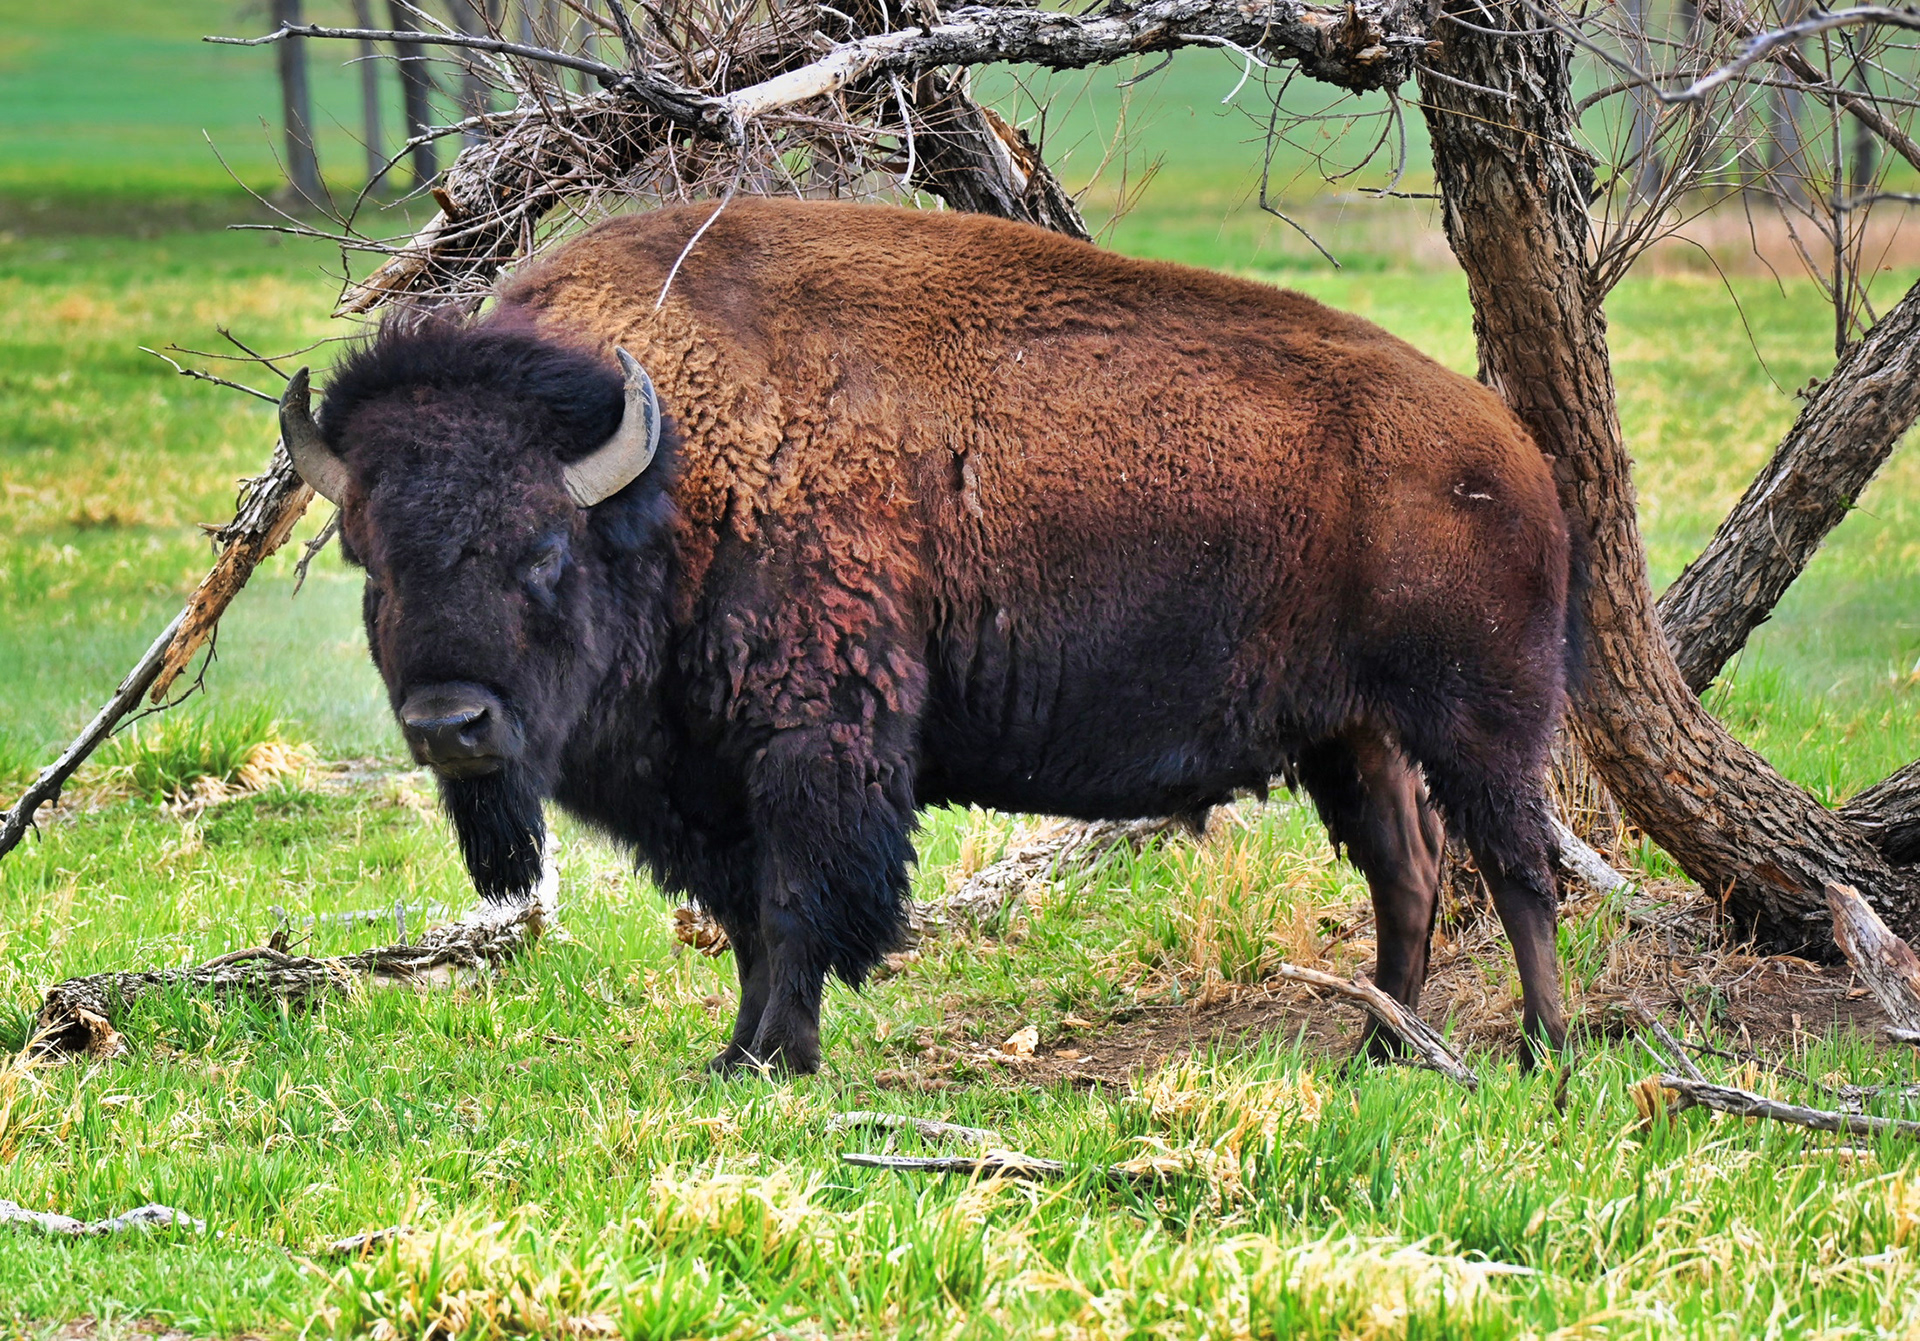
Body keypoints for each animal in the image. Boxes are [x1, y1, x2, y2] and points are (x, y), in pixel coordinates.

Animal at [281, 199, 1578, 1074]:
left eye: (543, 550)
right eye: (369, 561)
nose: (450, 724)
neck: (671, 477)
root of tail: (1510, 448)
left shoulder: (814, 750)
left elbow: (797, 907)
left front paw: (777, 1060)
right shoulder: (706, 787)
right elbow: (745, 922)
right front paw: (735, 1056)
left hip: (1479, 719)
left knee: (1519, 868)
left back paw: (1541, 1051)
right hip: (1351, 734)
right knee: (1408, 870)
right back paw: (1384, 1050)